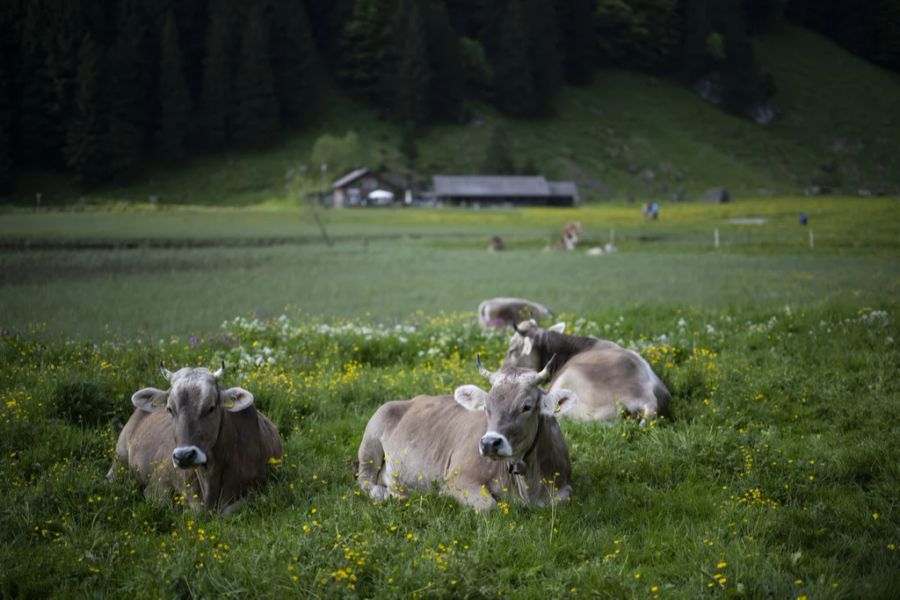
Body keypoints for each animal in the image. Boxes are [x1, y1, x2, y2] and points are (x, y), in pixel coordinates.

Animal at [356, 356, 576, 510]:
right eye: (486, 406)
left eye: (526, 406)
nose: (489, 443)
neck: (530, 486)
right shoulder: (459, 479)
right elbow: (488, 505)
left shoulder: (564, 488)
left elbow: (562, 499)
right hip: (370, 444)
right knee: (365, 481)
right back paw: (391, 494)